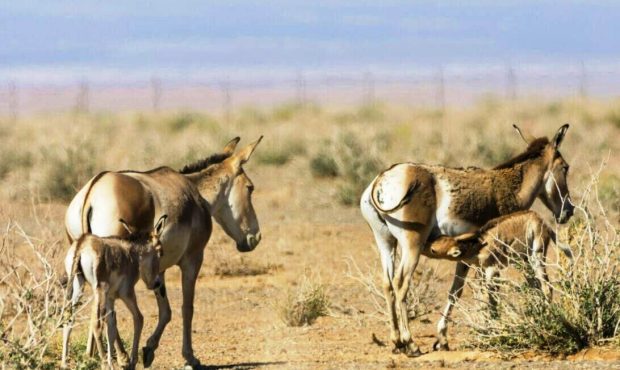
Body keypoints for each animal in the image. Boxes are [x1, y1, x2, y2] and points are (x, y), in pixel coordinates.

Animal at [62, 215, 167, 368]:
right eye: (160, 251)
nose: (157, 283)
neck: (132, 254)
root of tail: (82, 244)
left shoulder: (110, 298)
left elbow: (111, 326)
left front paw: (114, 363)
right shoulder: (127, 294)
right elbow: (139, 318)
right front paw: (132, 361)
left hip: (78, 287)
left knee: (69, 318)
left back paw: (64, 363)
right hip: (99, 290)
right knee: (96, 324)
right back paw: (104, 363)